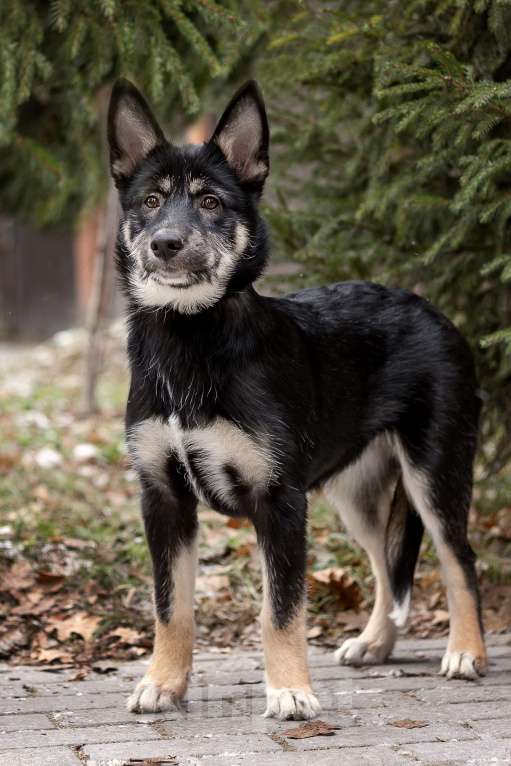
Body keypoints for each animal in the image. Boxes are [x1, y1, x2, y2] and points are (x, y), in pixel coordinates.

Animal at [107, 76, 488, 720]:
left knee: (458, 559)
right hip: (355, 492)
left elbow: (280, 610)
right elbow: (170, 606)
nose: (165, 244)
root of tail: (434, 312)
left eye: (211, 203)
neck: (193, 338)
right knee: (388, 565)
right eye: (151, 201)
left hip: (434, 473)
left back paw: (466, 653)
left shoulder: (280, 501)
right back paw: (374, 643)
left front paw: (289, 691)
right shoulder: (163, 498)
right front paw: (163, 682)